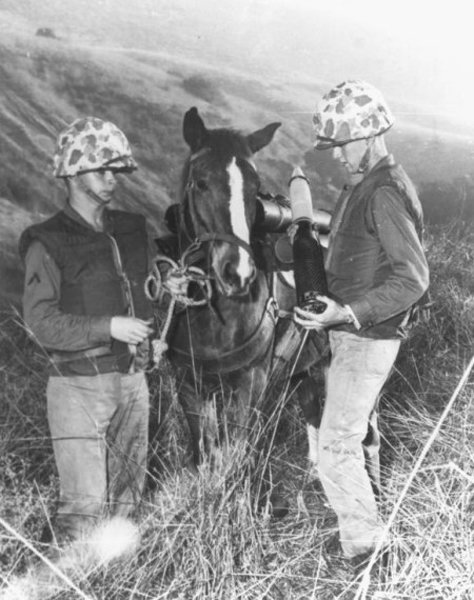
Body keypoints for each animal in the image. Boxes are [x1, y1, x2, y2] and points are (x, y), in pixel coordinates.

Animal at [152, 106, 326, 482]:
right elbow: (204, 452)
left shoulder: (250, 384)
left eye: (255, 188)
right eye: (200, 181)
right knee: (312, 408)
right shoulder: (191, 385)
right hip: (302, 368)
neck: (216, 318)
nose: (239, 272)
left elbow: (236, 454)